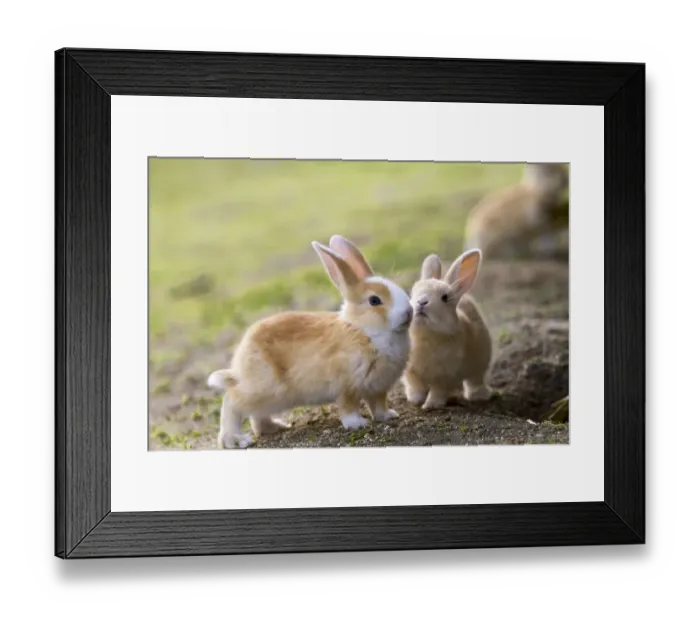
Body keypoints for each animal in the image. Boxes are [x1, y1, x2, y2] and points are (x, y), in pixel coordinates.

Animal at [207, 235, 414, 449]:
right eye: (374, 301)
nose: (409, 312)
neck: (364, 329)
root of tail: (242, 354)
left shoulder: (377, 388)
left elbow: (378, 405)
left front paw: (388, 416)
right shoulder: (346, 386)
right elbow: (348, 407)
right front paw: (357, 424)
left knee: (256, 415)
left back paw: (275, 427)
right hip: (265, 389)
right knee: (231, 401)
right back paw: (235, 439)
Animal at [402, 250, 492, 410]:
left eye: (445, 297)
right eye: (414, 293)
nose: (421, 302)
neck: (425, 336)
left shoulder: (445, 376)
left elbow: (438, 392)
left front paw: (431, 405)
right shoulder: (411, 371)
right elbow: (415, 386)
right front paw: (416, 400)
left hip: (480, 363)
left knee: (475, 380)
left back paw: (479, 395)